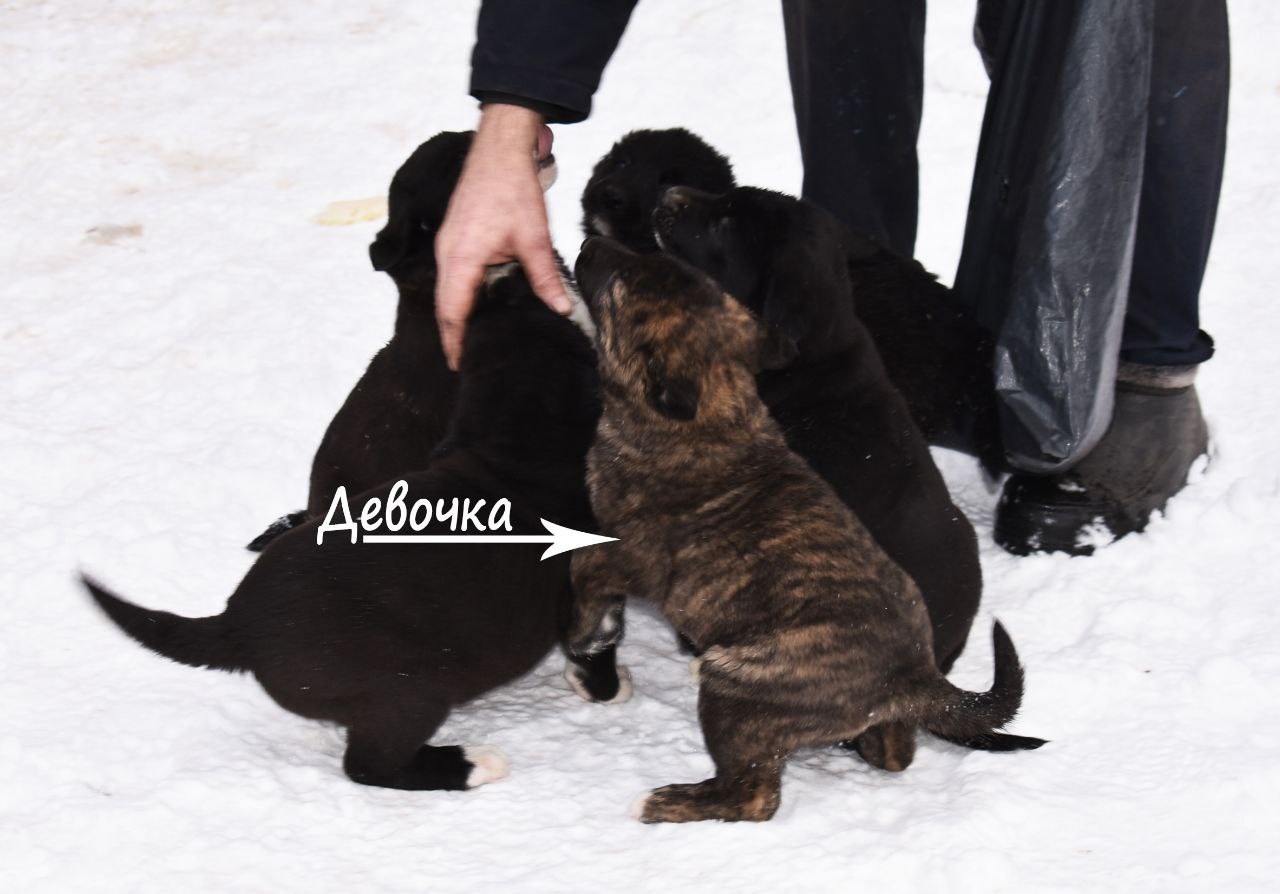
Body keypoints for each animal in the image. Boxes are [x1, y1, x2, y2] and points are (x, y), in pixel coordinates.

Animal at [84, 263, 609, 791]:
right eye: (538, 308)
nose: (507, 267)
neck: (509, 444)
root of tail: (236, 625)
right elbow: (594, 635)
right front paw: (602, 684)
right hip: (409, 691)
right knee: (369, 765)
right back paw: (473, 762)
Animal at [567, 238, 1041, 823]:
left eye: (622, 283)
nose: (588, 243)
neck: (717, 405)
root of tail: (917, 676)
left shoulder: (629, 553)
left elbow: (583, 566)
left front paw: (586, 638)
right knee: (894, 752)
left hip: (736, 692)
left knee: (755, 796)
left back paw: (668, 802)